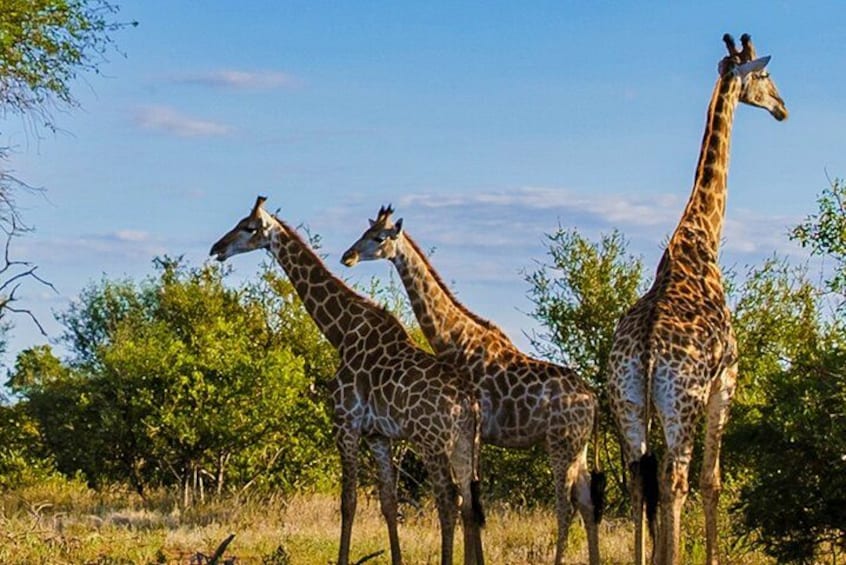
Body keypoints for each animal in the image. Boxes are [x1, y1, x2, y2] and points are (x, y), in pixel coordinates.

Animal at [210, 196, 485, 565]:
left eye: (248, 227)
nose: (217, 248)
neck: (341, 332)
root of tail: (469, 401)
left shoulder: (345, 423)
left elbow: (348, 502)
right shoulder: (378, 435)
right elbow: (388, 503)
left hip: (432, 441)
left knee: (448, 502)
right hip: (465, 443)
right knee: (469, 502)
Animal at [341, 207, 604, 565]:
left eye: (379, 238)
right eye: (364, 232)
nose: (348, 256)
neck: (454, 339)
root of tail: (593, 399)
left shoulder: (472, 430)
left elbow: (469, 503)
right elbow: (473, 503)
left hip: (560, 444)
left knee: (565, 507)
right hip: (579, 447)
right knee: (587, 503)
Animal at [606, 34, 787, 565]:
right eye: (765, 76)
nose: (782, 109)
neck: (700, 237)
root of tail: (646, 351)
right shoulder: (726, 379)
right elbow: (713, 482)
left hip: (627, 401)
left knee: (639, 480)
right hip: (681, 401)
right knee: (676, 479)